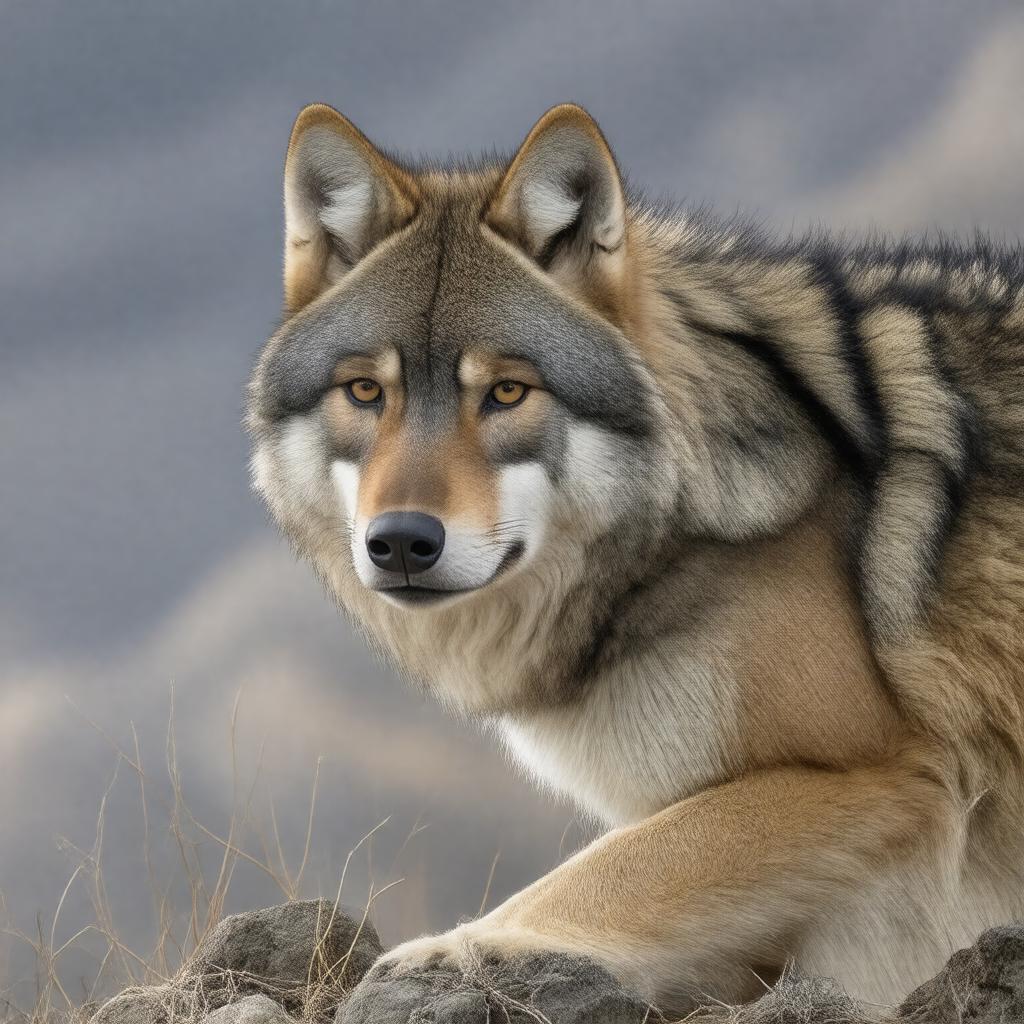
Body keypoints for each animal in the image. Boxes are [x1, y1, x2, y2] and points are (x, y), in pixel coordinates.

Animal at [247, 102, 1024, 1013]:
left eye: (507, 392)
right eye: (366, 392)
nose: (401, 539)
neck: (679, 537)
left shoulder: (872, 770)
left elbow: (598, 876)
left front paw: (449, 952)